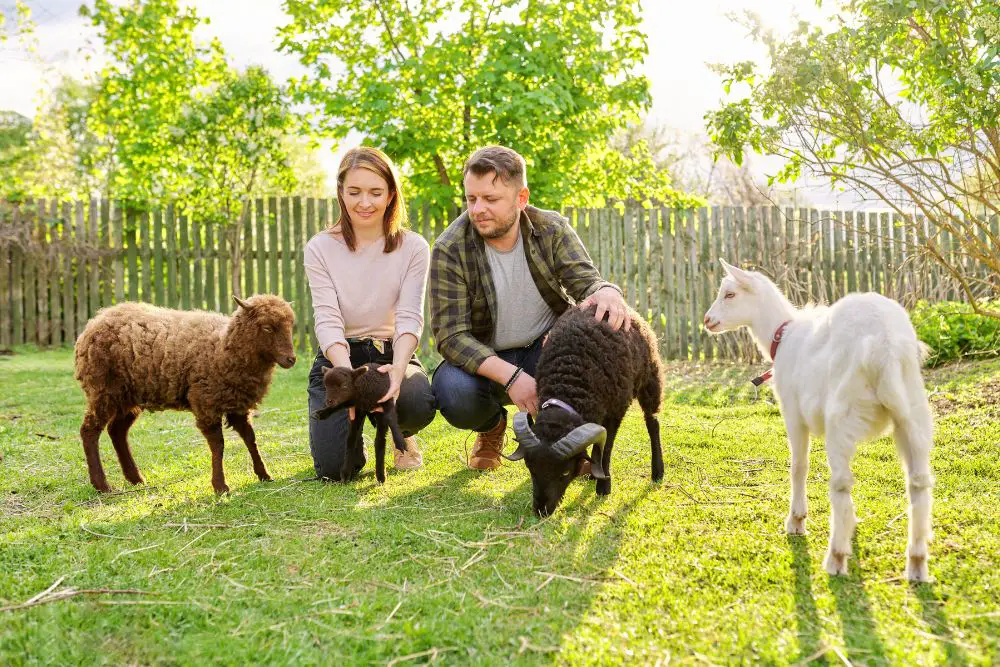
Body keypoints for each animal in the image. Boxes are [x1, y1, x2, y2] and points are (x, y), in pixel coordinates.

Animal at [74, 294, 296, 494]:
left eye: (290, 326)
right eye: (267, 327)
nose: (291, 359)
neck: (223, 348)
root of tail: (95, 321)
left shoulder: (238, 404)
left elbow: (251, 439)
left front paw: (264, 475)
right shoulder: (206, 403)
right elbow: (218, 445)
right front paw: (220, 486)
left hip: (128, 396)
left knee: (117, 431)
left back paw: (135, 478)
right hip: (103, 391)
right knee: (89, 431)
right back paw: (101, 485)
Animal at [508, 302, 664, 516]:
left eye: (565, 472)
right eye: (529, 467)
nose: (541, 511)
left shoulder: (615, 412)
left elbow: (605, 450)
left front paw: (603, 486)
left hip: (650, 378)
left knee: (652, 423)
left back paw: (657, 471)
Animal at [704, 258, 936, 580]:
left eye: (729, 294)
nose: (707, 320)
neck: (782, 335)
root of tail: (885, 349)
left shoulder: (792, 412)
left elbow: (798, 466)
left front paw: (796, 521)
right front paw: (852, 525)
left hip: (842, 414)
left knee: (840, 482)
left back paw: (835, 557)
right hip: (913, 412)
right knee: (918, 483)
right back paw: (916, 562)